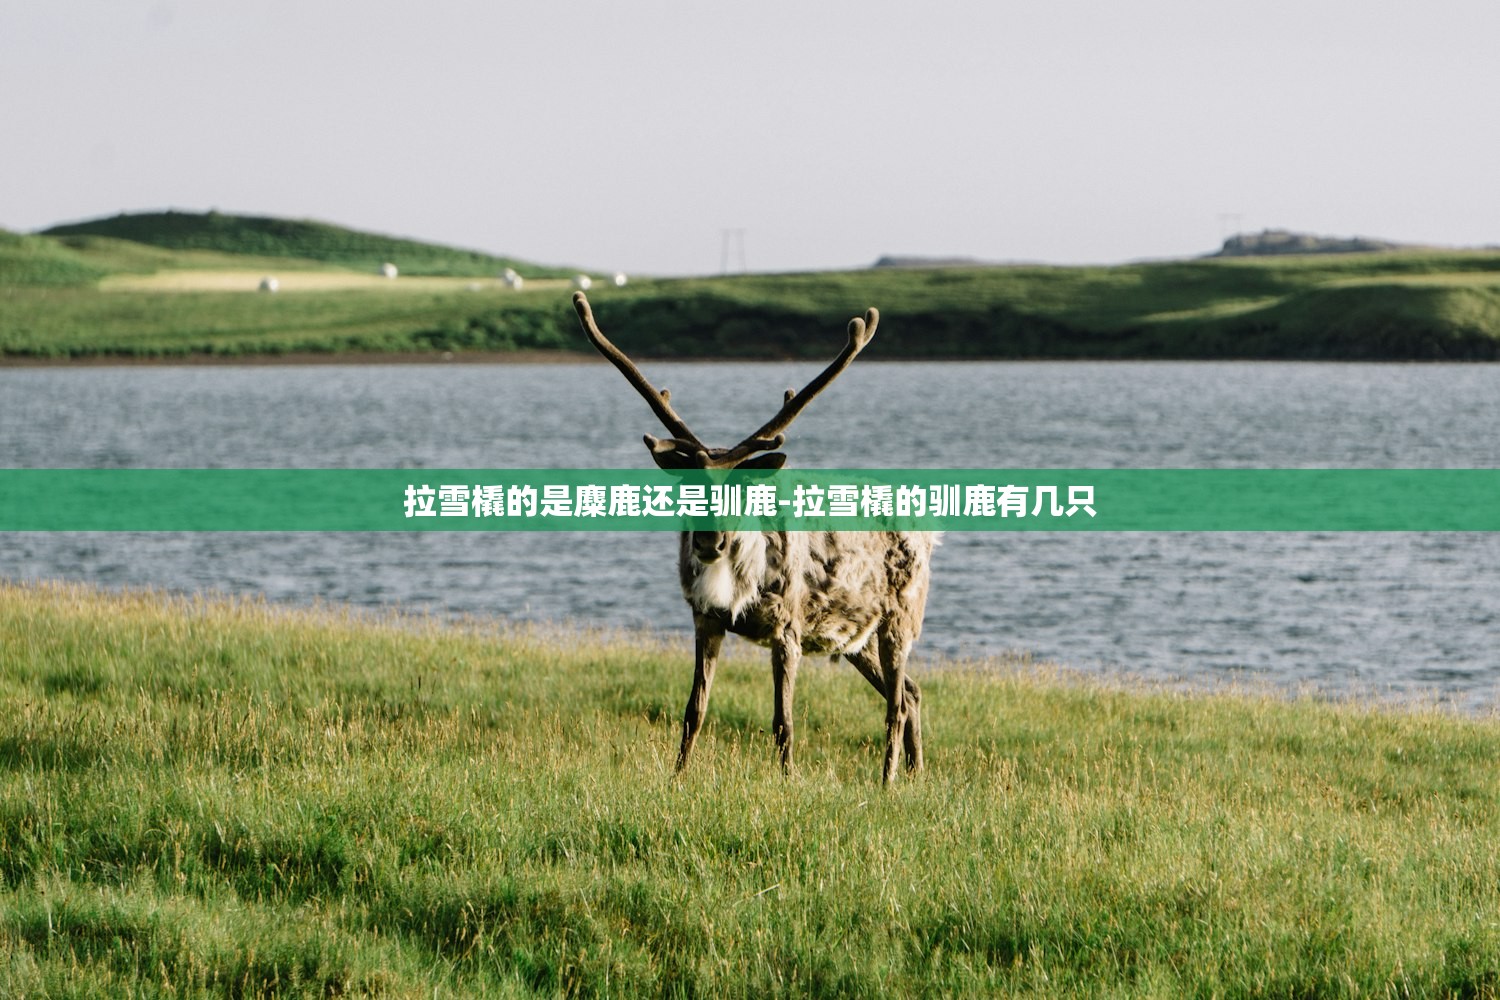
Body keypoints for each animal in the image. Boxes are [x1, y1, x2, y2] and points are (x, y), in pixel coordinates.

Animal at [571, 291, 936, 785]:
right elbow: (693, 711)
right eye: (690, 485)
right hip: (851, 635)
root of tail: (929, 530)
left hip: (899, 617)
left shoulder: (788, 626)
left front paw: (788, 781)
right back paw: (915, 775)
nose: (709, 542)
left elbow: (784, 721)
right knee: (912, 693)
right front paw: (677, 778)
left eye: (739, 486)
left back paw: (888, 782)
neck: (741, 580)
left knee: (896, 705)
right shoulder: (705, 619)